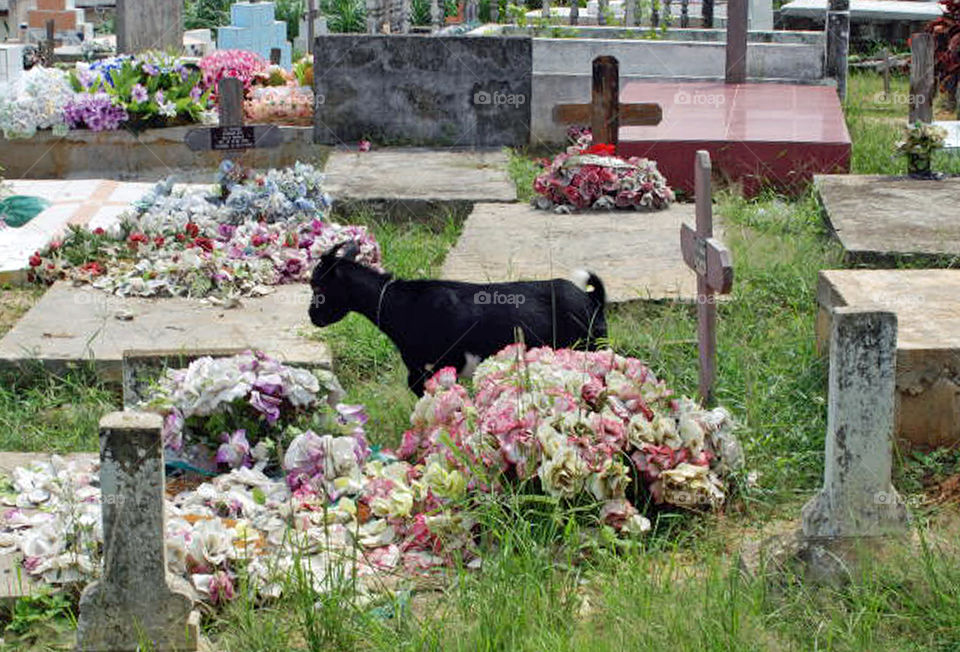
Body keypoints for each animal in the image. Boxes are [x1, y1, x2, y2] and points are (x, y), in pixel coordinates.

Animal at [310, 239, 608, 392]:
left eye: (317, 287)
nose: (313, 316)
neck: (400, 303)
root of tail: (592, 299)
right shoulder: (418, 367)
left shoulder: (443, 363)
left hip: (588, 348)